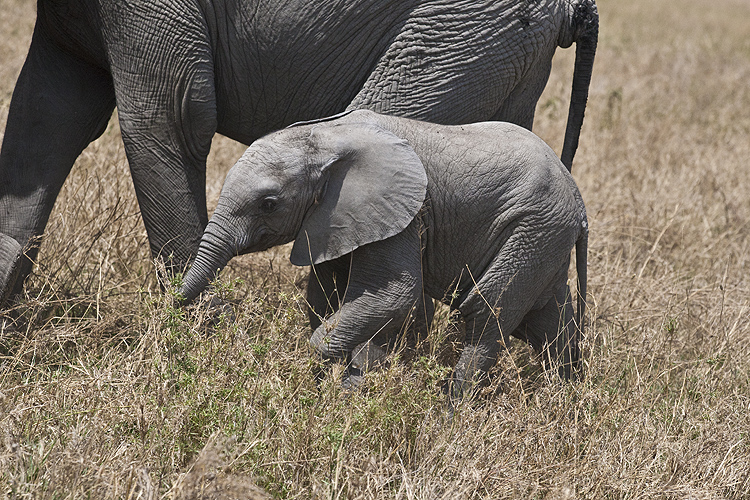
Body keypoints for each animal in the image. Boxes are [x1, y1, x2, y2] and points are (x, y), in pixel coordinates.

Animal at [181, 111, 588, 400]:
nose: (176, 305)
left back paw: (453, 413)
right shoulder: (338, 220)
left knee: (486, 313)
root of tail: (578, 199)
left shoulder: (401, 214)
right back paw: (566, 402)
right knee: (548, 323)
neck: (328, 136)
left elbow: (395, 296)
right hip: (544, 239)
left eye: (268, 204)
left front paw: (334, 388)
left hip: (534, 228)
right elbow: (329, 296)